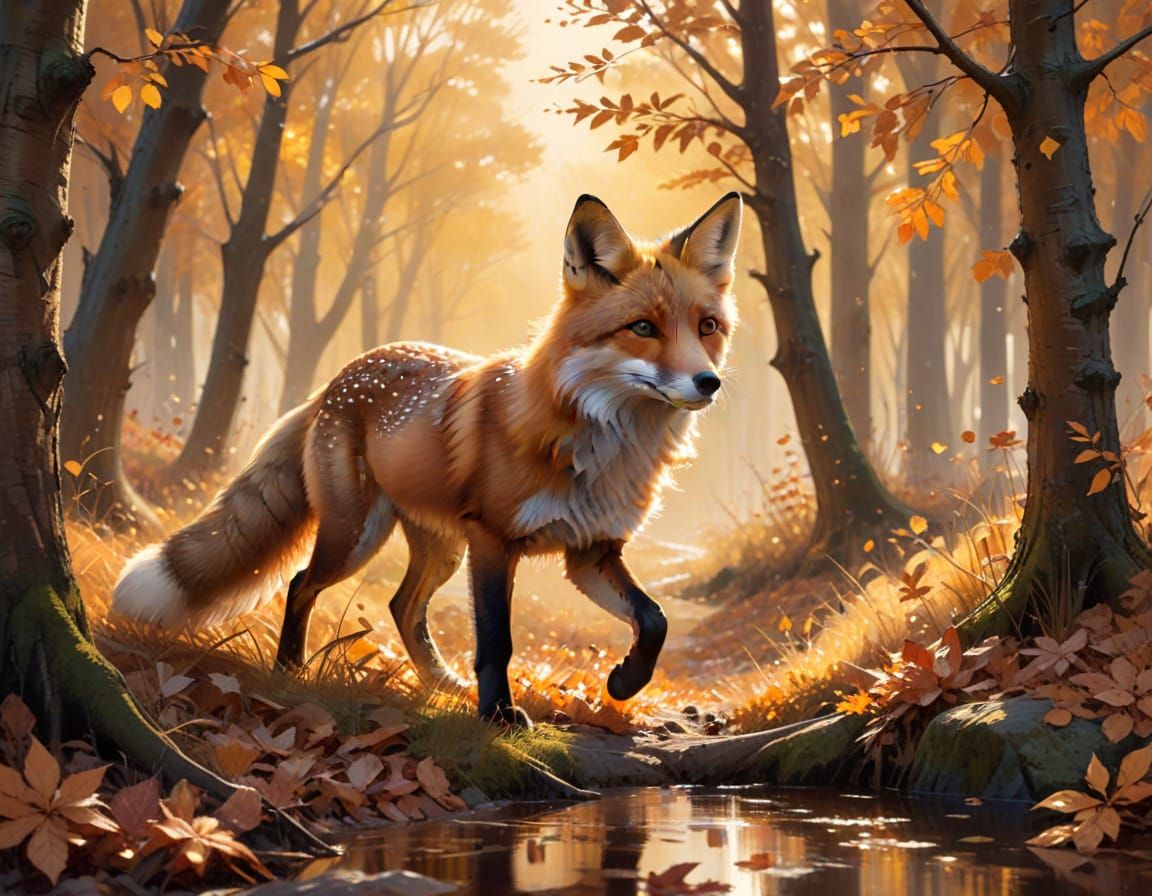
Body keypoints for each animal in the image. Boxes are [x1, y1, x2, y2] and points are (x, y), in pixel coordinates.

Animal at [113, 192, 742, 725]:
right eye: (643, 327)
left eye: (707, 327)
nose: (709, 383)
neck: (599, 447)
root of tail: (338, 377)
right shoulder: (492, 540)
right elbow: (497, 641)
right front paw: (498, 718)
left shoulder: (590, 551)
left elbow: (654, 619)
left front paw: (625, 682)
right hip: (357, 535)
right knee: (301, 584)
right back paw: (290, 671)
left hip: (438, 547)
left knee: (402, 606)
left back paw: (440, 685)